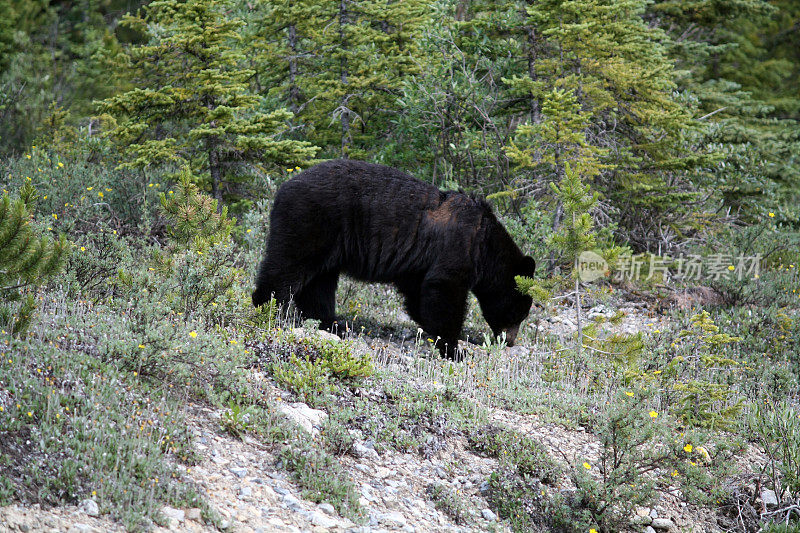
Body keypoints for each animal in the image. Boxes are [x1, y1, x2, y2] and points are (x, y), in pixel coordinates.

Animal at [253, 158, 536, 358]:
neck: (485, 247)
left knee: (319, 284)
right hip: (310, 222)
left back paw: (332, 324)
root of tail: (282, 188)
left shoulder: (417, 265)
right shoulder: (457, 247)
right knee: (286, 266)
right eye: (520, 312)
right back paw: (266, 308)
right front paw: (455, 349)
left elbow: (419, 295)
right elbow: (445, 289)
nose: (510, 341)